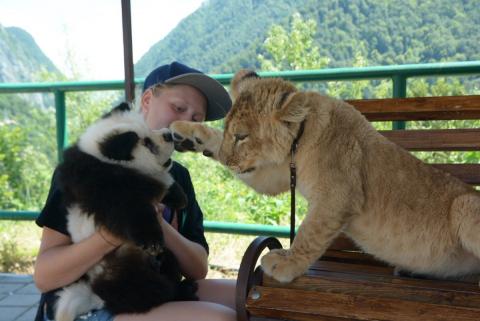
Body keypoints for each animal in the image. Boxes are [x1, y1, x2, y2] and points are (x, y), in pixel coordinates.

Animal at [55, 102, 198, 320]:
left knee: (171, 264)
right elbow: (134, 210)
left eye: (150, 127)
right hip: (123, 272)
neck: (102, 158)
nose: (168, 135)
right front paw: (152, 241)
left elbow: (161, 184)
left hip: (163, 257)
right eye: (147, 143)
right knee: (148, 292)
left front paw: (180, 197)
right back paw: (182, 291)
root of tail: (97, 294)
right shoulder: (105, 186)